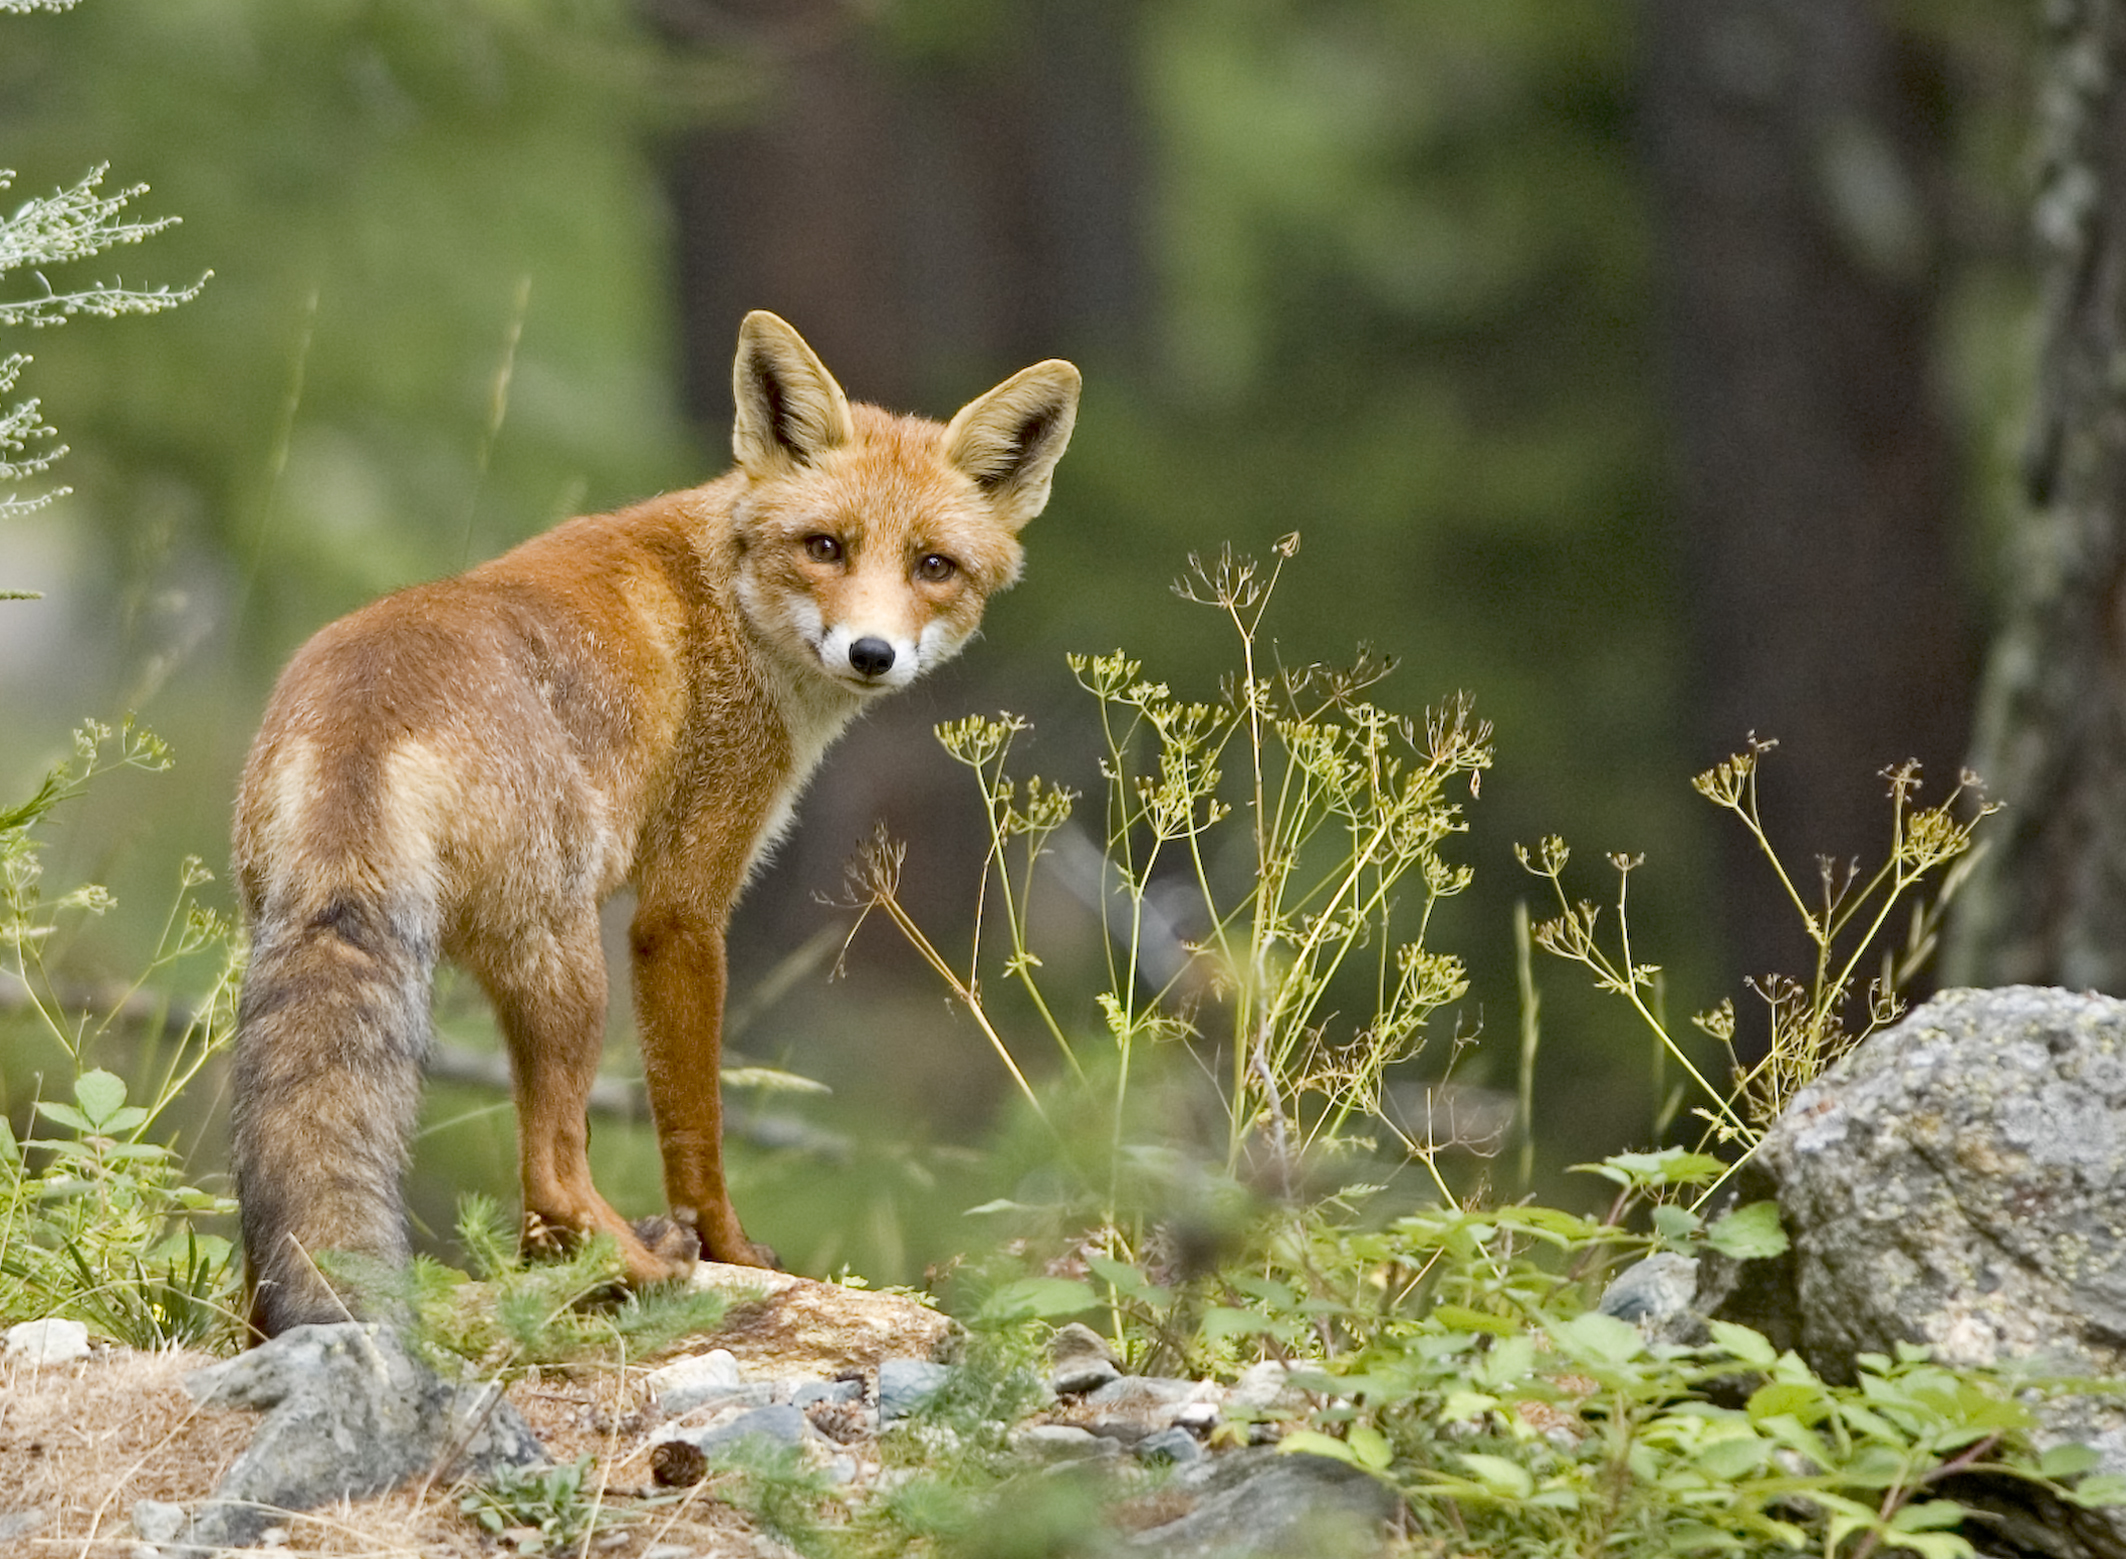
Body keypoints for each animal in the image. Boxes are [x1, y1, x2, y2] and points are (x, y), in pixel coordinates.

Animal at [230, 311, 1080, 1338]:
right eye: (825, 546)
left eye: (934, 567)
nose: (871, 653)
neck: (732, 598)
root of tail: (363, 711)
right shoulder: (681, 908)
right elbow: (696, 1124)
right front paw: (728, 1250)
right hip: (569, 972)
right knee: (552, 1173)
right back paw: (648, 1270)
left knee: (271, 1226)